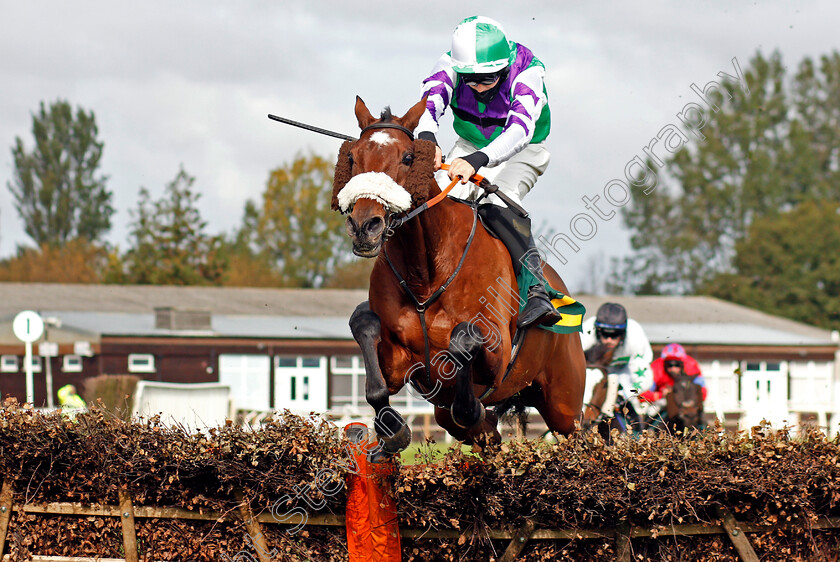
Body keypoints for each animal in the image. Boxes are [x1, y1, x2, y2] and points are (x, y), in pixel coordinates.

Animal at [332, 96, 588, 452]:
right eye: (352, 156)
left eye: (408, 158)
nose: (364, 226)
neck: (426, 274)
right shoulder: (402, 365)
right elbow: (365, 329)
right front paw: (392, 428)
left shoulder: (497, 354)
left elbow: (465, 339)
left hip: (564, 404)